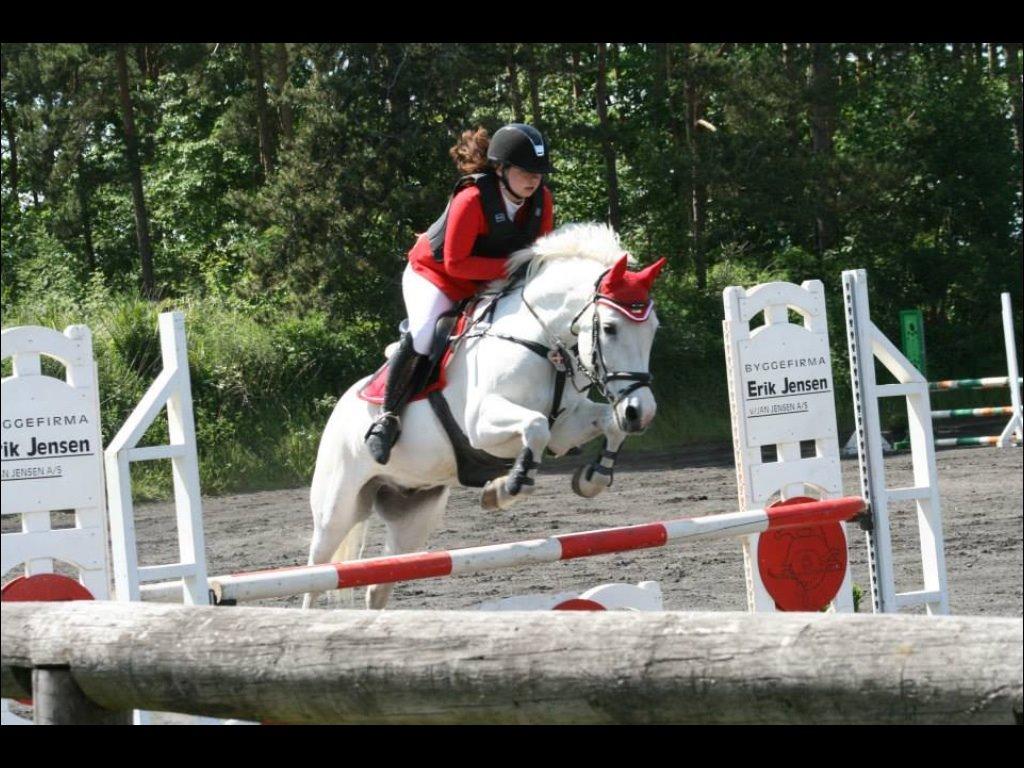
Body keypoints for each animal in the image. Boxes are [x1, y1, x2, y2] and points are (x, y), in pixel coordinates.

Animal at [301, 221, 663, 606]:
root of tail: (338, 412)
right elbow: (536, 427)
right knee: (317, 574)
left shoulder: (567, 427)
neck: (540, 342)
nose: (640, 412)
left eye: (653, 328)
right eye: (609, 328)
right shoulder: (481, 427)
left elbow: (607, 425)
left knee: (379, 585)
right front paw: (506, 487)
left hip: (413, 514)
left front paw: (594, 477)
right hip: (337, 509)